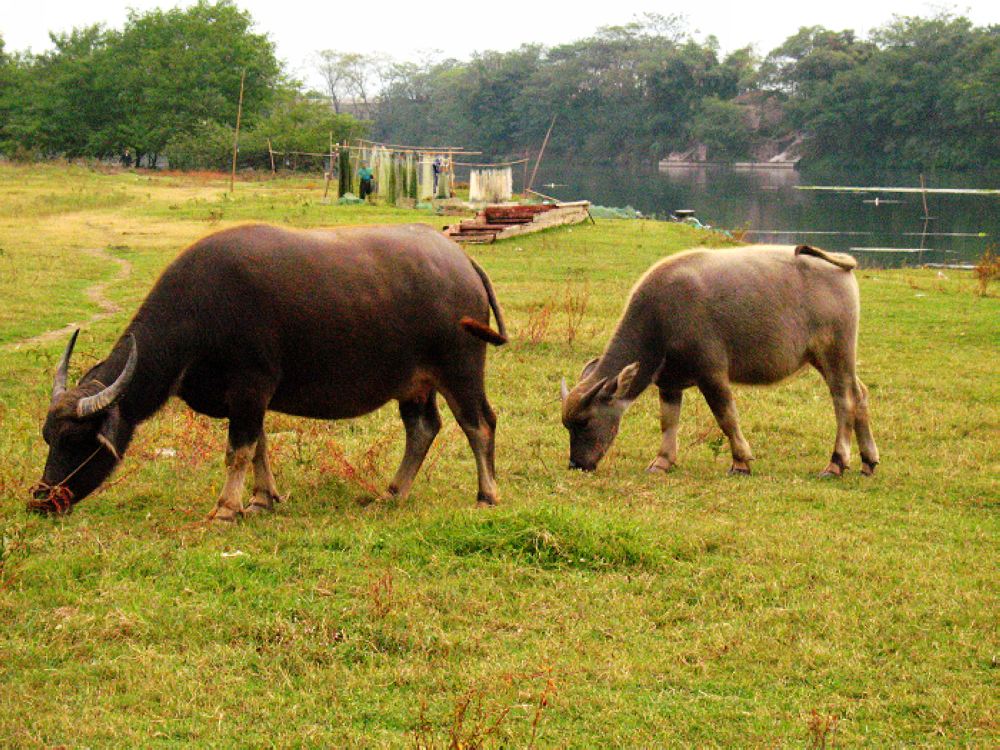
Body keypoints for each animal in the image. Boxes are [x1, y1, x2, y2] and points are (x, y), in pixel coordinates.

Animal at [32, 222, 508, 516]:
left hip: (461, 370)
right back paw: (391, 493)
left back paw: (486, 495)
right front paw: (262, 499)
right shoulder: (248, 399)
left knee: (479, 423)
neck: (199, 314)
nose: (41, 500)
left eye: (76, 440)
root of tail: (461, 261)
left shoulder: (250, 388)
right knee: (423, 429)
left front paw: (226, 508)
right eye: (48, 437)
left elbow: (238, 450)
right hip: (414, 384)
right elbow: (259, 445)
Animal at [564, 244, 884, 478]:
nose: (577, 464)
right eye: (567, 425)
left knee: (844, 400)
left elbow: (726, 416)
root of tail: (838, 264)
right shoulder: (669, 383)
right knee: (860, 393)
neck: (661, 318)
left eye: (584, 421)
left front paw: (741, 461)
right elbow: (668, 421)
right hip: (829, 358)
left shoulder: (712, 373)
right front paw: (662, 461)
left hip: (835, 352)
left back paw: (836, 463)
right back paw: (868, 461)